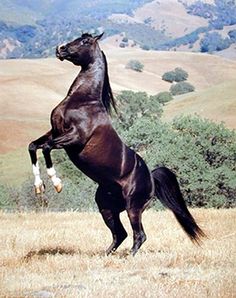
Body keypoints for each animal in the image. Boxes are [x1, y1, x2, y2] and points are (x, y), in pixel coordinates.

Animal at [28, 32, 205, 256]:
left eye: (85, 41)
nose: (60, 49)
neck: (83, 100)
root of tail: (151, 178)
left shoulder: (74, 137)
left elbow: (47, 148)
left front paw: (56, 183)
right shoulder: (54, 132)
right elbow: (33, 146)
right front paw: (39, 187)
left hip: (133, 207)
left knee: (139, 235)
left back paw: (129, 257)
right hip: (107, 207)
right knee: (120, 234)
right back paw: (105, 256)